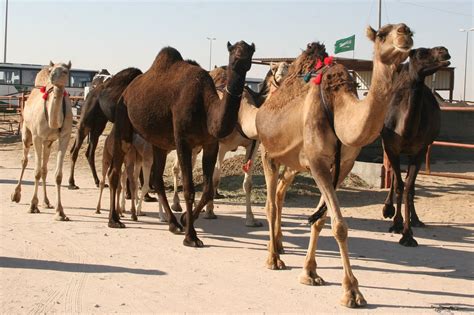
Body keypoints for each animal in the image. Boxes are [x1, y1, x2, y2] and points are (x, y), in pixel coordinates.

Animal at [10, 60, 73, 221]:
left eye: (65, 71)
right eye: (51, 70)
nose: (52, 76)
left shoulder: (65, 137)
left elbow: (57, 175)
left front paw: (60, 212)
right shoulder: (37, 137)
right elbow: (36, 172)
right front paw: (33, 205)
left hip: (48, 142)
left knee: (45, 168)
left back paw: (46, 202)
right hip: (26, 132)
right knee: (25, 161)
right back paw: (16, 194)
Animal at [108, 41, 256, 249]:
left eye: (249, 51)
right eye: (233, 51)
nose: (240, 59)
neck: (206, 108)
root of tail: (126, 92)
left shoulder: (210, 143)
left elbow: (208, 189)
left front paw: (185, 219)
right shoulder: (183, 141)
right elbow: (189, 189)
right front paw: (191, 237)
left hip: (159, 143)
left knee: (157, 179)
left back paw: (173, 224)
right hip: (123, 120)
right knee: (115, 172)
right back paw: (114, 220)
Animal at [254, 24, 412, 308]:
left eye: (407, 29)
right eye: (383, 34)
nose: (405, 33)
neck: (339, 108)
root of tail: (265, 105)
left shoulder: (343, 165)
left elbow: (321, 220)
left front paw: (310, 272)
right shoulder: (316, 161)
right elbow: (339, 225)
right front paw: (352, 291)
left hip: (291, 162)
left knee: (281, 194)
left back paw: (280, 246)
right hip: (268, 152)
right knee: (270, 203)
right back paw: (273, 258)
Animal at [382, 46, 452, 247]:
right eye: (421, 53)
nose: (444, 51)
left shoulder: (419, 150)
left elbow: (408, 188)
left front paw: (407, 234)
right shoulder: (391, 146)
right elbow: (399, 185)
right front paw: (397, 224)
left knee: (409, 185)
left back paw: (416, 220)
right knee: (396, 178)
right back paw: (387, 210)